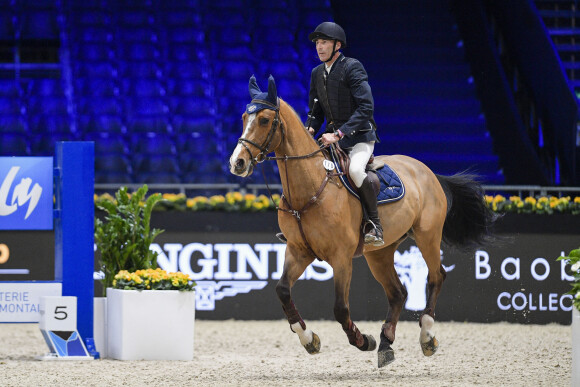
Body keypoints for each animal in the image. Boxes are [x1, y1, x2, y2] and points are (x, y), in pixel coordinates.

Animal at [229, 76, 496, 370]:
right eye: (244, 118)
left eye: (265, 120)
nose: (237, 162)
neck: (310, 188)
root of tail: (426, 170)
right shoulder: (299, 251)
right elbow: (283, 291)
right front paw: (309, 339)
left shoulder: (341, 257)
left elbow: (340, 308)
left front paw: (362, 340)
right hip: (380, 253)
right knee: (398, 293)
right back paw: (386, 344)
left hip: (427, 236)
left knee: (436, 276)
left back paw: (426, 336)